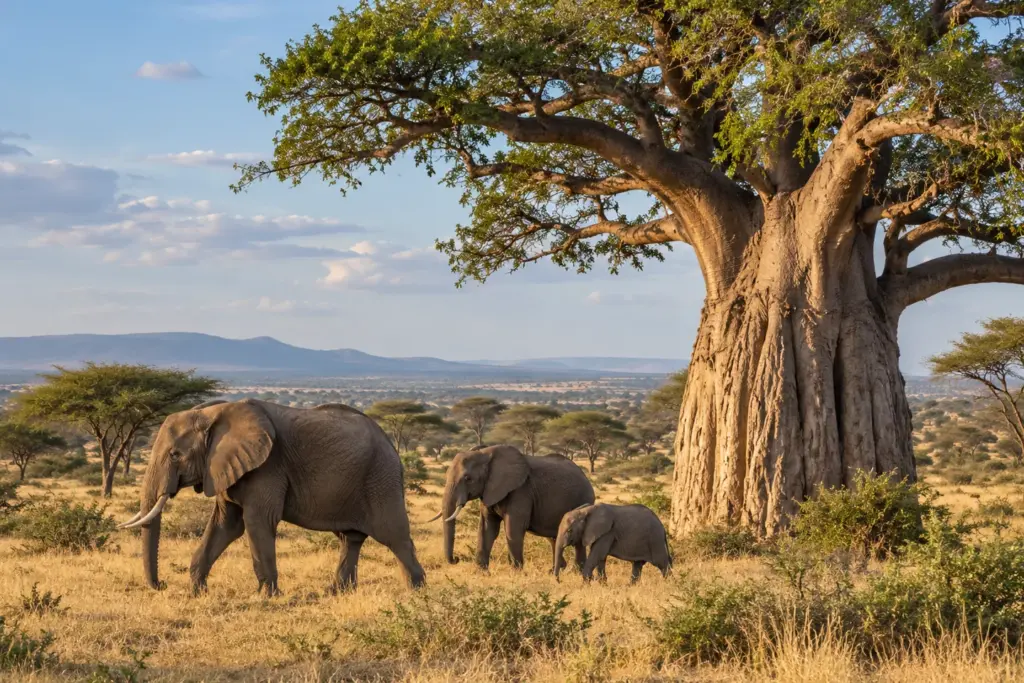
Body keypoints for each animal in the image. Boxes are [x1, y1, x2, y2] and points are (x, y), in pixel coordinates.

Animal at [118, 399, 426, 596]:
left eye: (174, 455)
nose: (161, 585)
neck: (212, 413)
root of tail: (391, 445)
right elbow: (225, 525)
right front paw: (196, 592)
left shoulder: (267, 466)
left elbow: (256, 522)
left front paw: (267, 596)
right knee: (350, 539)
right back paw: (337, 592)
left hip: (380, 478)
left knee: (394, 536)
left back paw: (416, 591)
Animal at [432, 446, 595, 571]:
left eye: (468, 478)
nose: (456, 559)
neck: (485, 454)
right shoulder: (488, 491)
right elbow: (487, 528)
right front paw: (481, 572)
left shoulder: (521, 491)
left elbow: (513, 529)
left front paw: (516, 572)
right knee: (553, 537)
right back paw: (556, 570)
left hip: (583, 498)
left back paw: (576, 571)